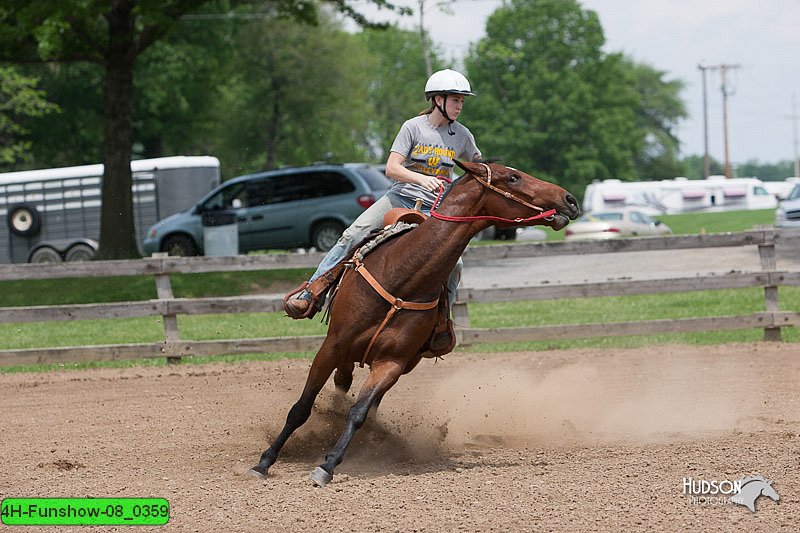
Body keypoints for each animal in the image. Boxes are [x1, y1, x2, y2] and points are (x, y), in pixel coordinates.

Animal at [248, 160, 576, 484]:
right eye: (513, 177)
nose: (570, 199)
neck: (402, 275)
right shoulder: (332, 346)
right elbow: (301, 408)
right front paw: (265, 461)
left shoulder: (392, 363)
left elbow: (359, 412)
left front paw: (328, 464)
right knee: (341, 380)